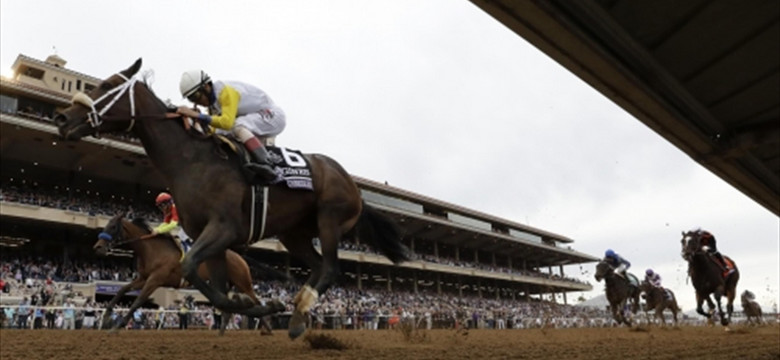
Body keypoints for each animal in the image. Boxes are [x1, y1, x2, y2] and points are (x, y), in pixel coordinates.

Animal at [55, 59, 412, 340]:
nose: (61, 118)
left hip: (329, 218)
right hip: (294, 233)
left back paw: (294, 312)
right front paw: (257, 306)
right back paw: (295, 312)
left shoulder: (221, 230)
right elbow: (211, 288)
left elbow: (186, 269)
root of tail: (354, 186)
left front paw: (264, 305)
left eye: (107, 85)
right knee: (315, 265)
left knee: (331, 268)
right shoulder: (206, 239)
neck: (192, 160)